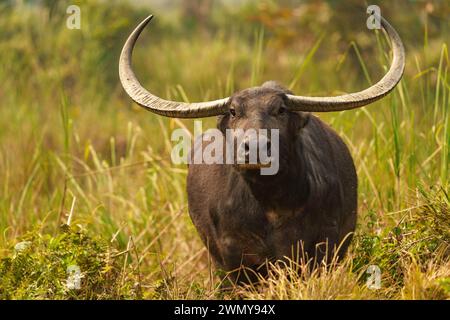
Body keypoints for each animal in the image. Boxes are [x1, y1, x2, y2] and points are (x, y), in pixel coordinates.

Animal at [118, 15, 404, 284]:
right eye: (233, 111)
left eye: (281, 109)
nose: (254, 147)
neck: (272, 204)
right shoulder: (233, 257)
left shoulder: (324, 246)